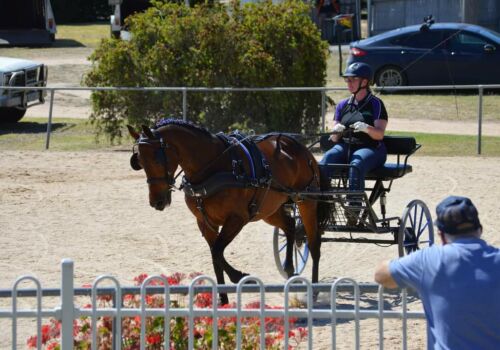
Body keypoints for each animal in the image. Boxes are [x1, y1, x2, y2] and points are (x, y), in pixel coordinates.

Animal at [128, 119, 332, 304]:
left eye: (156, 158)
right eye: (139, 161)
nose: (157, 201)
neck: (213, 168)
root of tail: (302, 149)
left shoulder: (236, 219)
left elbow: (218, 251)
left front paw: (241, 277)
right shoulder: (204, 223)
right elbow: (215, 256)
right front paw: (224, 298)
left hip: (306, 201)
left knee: (314, 244)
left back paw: (314, 290)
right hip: (270, 209)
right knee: (289, 226)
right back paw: (289, 269)